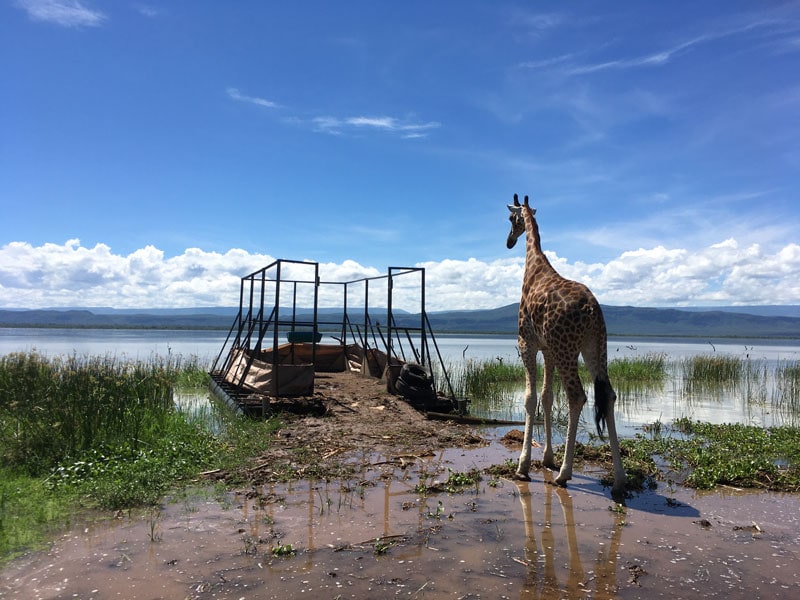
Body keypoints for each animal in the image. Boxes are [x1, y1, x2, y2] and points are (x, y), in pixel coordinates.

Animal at [506, 195, 624, 494]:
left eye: (512, 219)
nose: (509, 241)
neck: (535, 266)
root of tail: (592, 311)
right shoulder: (547, 349)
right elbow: (546, 397)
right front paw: (547, 458)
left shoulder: (526, 342)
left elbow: (530, 398)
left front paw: (523, 465)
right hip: (595, 348)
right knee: (608, 396)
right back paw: (619, 479)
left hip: (567, 349)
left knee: (577, 396)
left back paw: (564, 474)